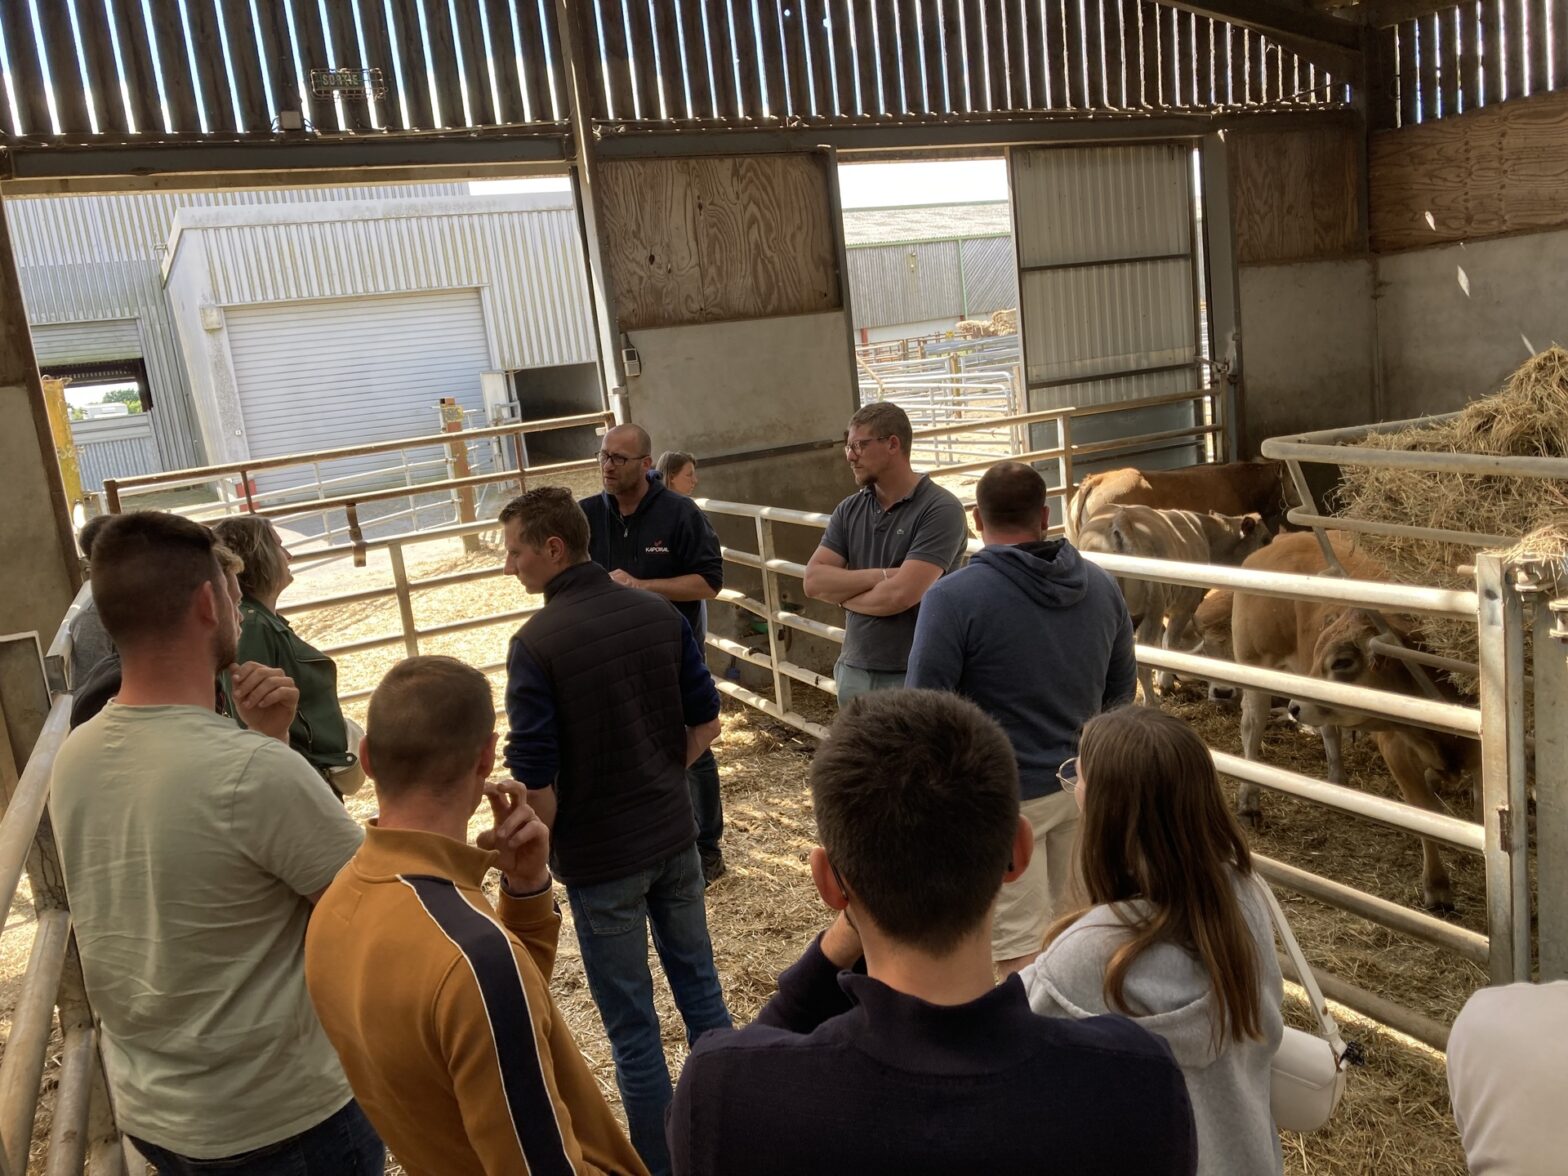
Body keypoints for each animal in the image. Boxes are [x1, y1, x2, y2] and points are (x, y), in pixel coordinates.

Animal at [1078, 501, 1273, 705]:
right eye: (1266, 540)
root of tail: (1120, 518)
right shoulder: (1184, 606)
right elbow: (1168, 643)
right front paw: (1166, 683)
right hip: (1151, 611)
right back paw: (1152, 702)